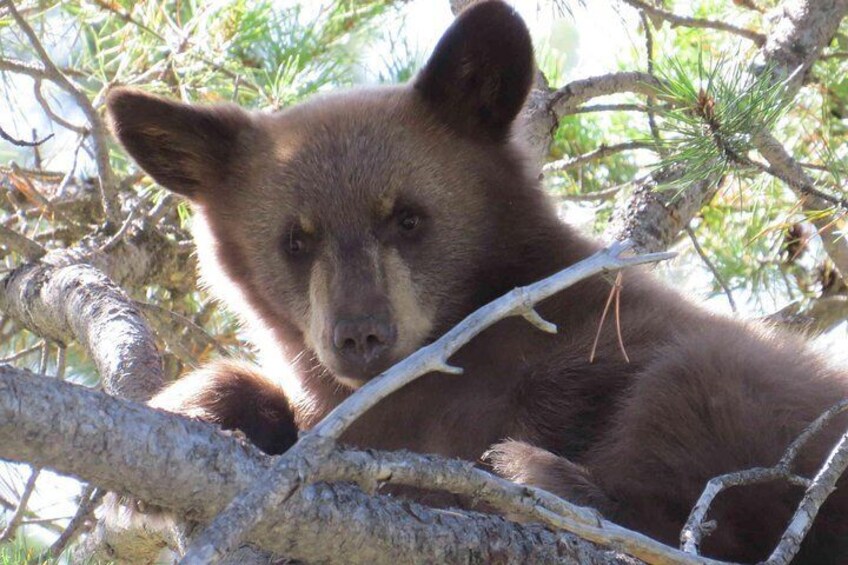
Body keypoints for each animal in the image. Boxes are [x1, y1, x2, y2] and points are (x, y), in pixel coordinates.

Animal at [106, 2, 848, 560]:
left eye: (408, 218)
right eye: (295, 238)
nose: (362, 335)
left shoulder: (598, 333)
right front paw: (192, 407)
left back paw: (547, 480)